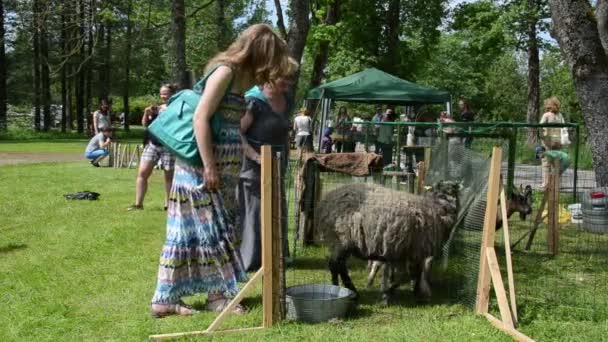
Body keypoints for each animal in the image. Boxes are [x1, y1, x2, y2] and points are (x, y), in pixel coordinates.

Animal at [314, 180, 460, 304]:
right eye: (450, 189)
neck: (436, 206)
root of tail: (325, 202)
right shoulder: (416, 250)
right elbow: (410, 274)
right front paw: (392, 292)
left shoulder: (404, 252)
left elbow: (409, 274)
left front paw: (409, 291)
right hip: (342, 238)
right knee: (335, 265)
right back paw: (349, 291)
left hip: (339, 242)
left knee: (338, 266)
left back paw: (339, 288)